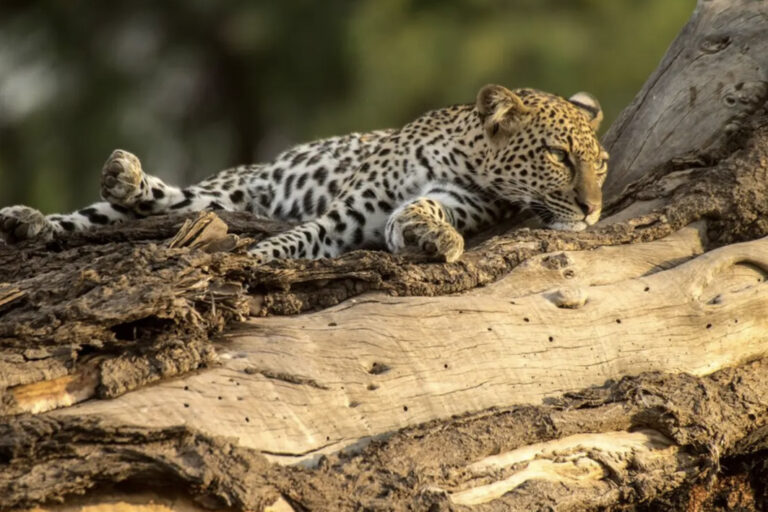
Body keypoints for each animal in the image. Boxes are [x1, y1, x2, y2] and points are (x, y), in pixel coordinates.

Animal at [0, 84, 608, 263]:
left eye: (601, 166)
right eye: (559, 156)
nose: (594, 209)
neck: (462, 157)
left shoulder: (457, 200)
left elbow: (419, 212)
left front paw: (429, 234)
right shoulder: (344, 212)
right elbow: (290, 242)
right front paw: (252, 261)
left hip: (227, 202)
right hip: (234, 186)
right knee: (125, 207)